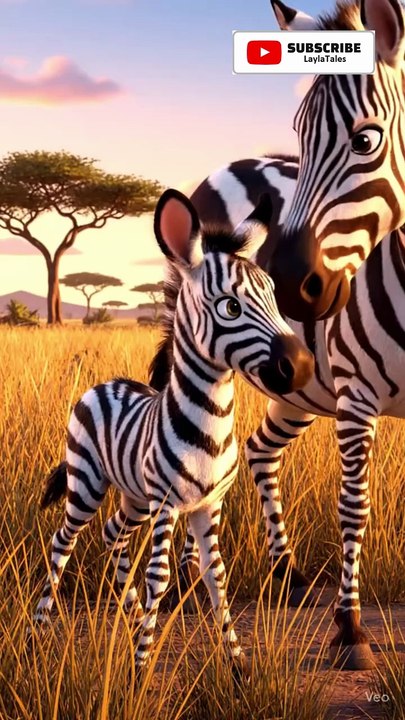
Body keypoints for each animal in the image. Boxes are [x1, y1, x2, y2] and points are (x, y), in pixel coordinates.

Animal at [34, 189, 314, 673]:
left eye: (275, 299)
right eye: (231, 307)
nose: (301, 368)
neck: (211, 428)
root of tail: (104, 383)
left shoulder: (209, 504)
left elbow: (216, 575)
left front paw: (235, 662)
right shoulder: (166, 504)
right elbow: (160, 575)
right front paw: (140, 664)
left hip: (133, 497)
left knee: (114, 532)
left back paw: (128, 610)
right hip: (87, 483)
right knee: (62, 540)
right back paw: (42, 624)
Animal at [148, 0, 405, 671]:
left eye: (366, 139)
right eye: (297, 131)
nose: (290, 286)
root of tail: (233, 164)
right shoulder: (357, 396)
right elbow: (354, 506)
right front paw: (351, 630)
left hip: (298, 386)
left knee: (262, 449)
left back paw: (287, 575)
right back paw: (183, 585)